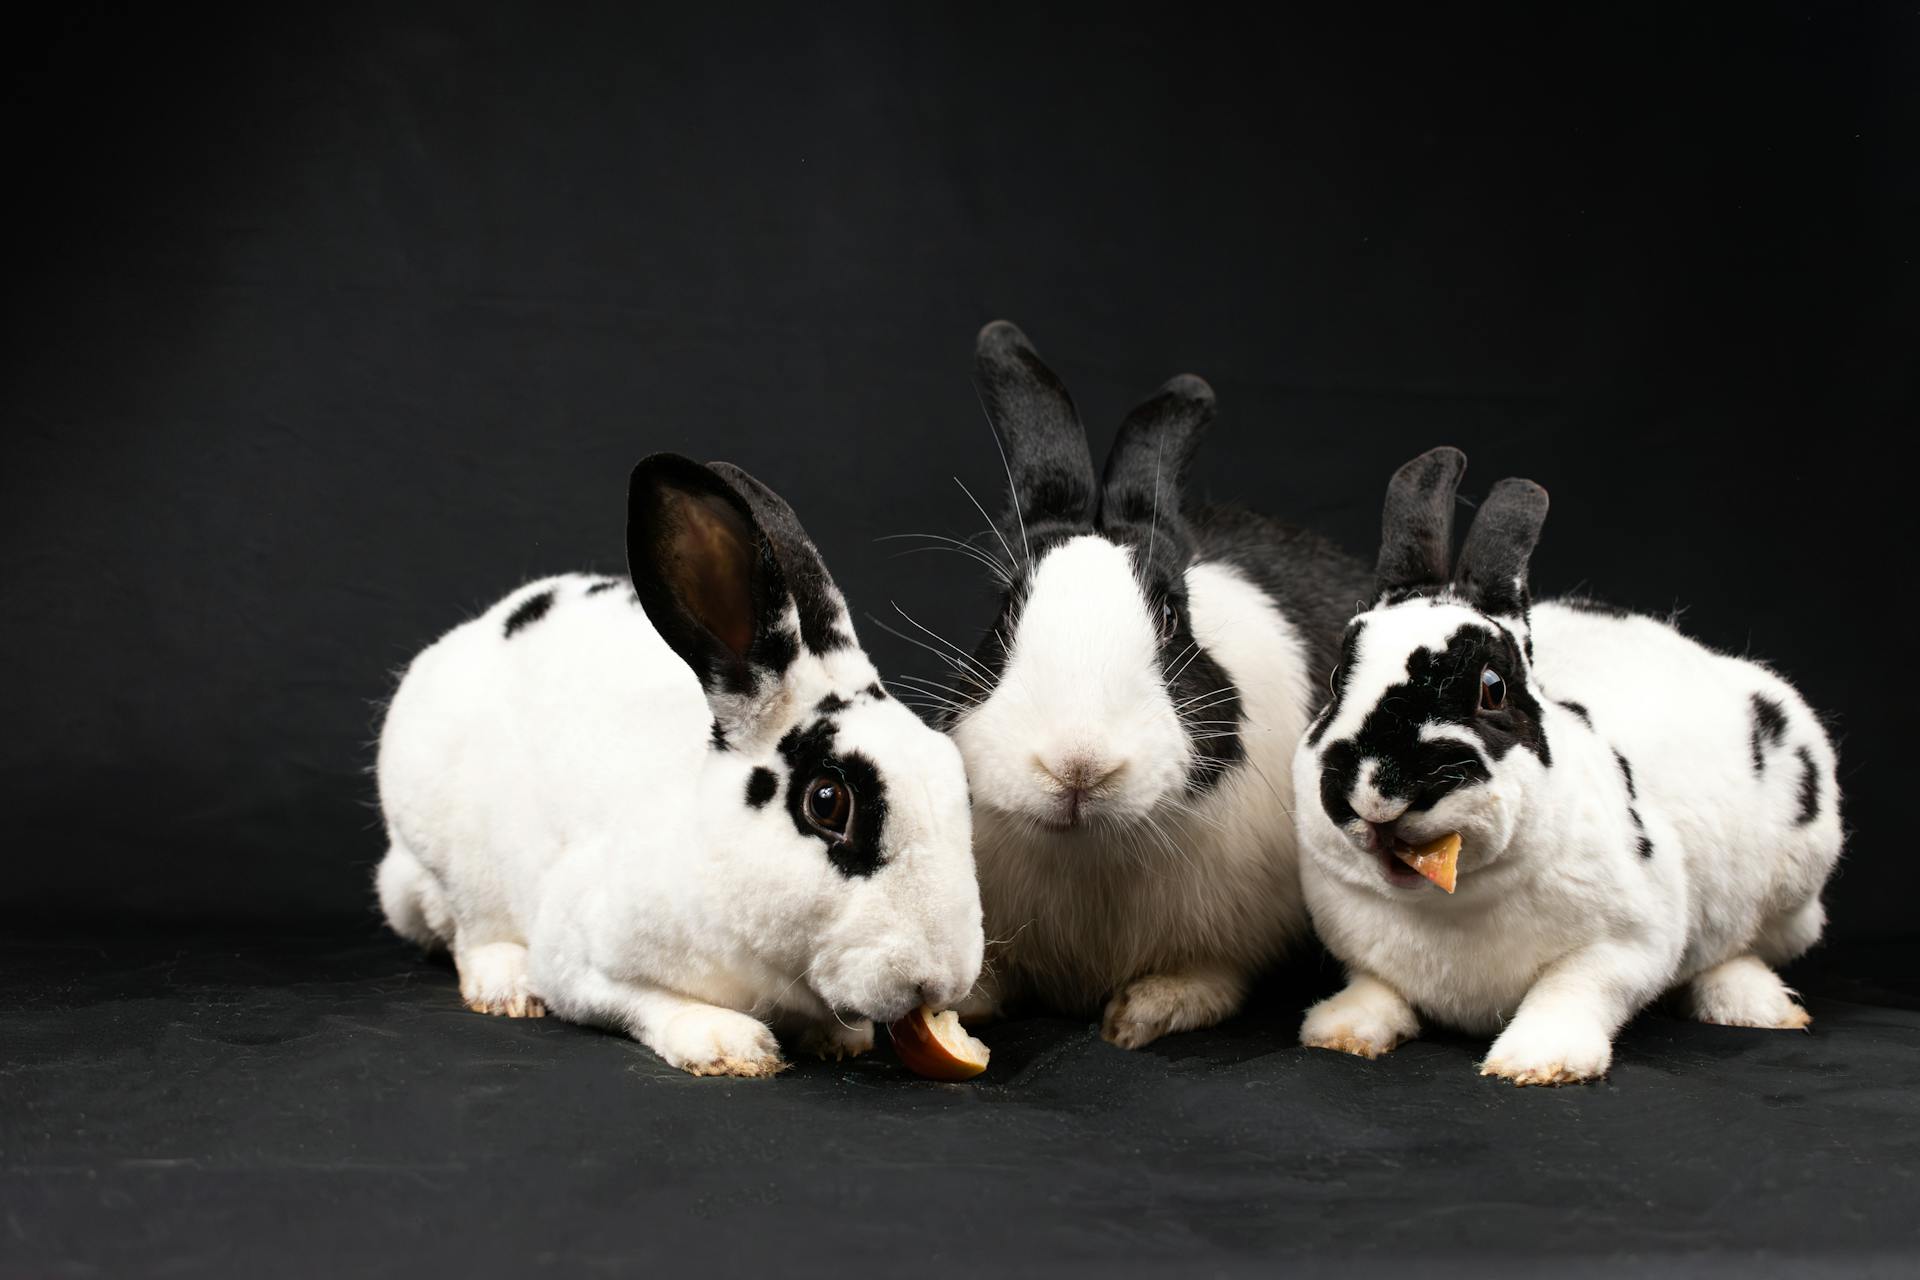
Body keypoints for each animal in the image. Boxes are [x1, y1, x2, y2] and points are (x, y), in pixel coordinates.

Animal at [372, 454, 983, 1074]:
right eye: (828, 802)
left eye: (957, 777)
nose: (942, 981)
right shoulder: (580, 959)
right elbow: (647, 1001)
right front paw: (730, 1045)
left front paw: (840, 1039)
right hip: (448, 860)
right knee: (471, 930)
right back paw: (508, 988)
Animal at [933, 322, 1374, 1051]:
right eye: (1006, 610)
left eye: (1171, 618)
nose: (1077, 766)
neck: (1089, 852)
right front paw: (964, 1002)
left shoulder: (1231, 938)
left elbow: (1211, 978)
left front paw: (1145, 1013)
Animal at [1290, 445, 1843, 1090]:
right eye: (1337, 681)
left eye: (1493, 688)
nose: (1377, 792)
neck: (1450, 901)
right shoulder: (1360, 949)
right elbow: (1376, 988)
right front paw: (1340, 1032)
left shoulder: (1629, 943)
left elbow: (1574, 989)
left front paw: (1538, 1062)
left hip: (1795, 880)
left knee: (1738, 948)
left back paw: (1759, 1006)